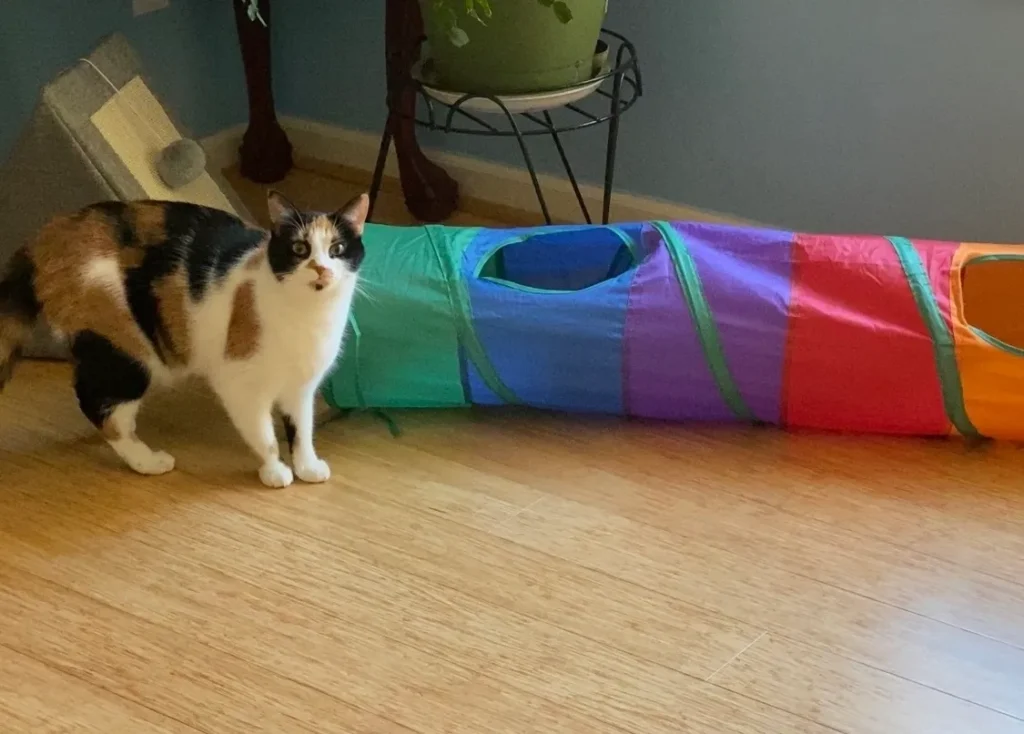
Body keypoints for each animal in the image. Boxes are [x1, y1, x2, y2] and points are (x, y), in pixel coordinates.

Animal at [0, 189, 368, 487]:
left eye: (337, 249)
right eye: (299, 248)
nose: (321, 269)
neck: (307, 317)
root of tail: (50, 233)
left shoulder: (301, 388)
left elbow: (302, 429)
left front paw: (307, 466)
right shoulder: (239, 384)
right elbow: (264, 435)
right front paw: (275, 471)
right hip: (126, 350)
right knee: (99, 404)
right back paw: (146, 461)